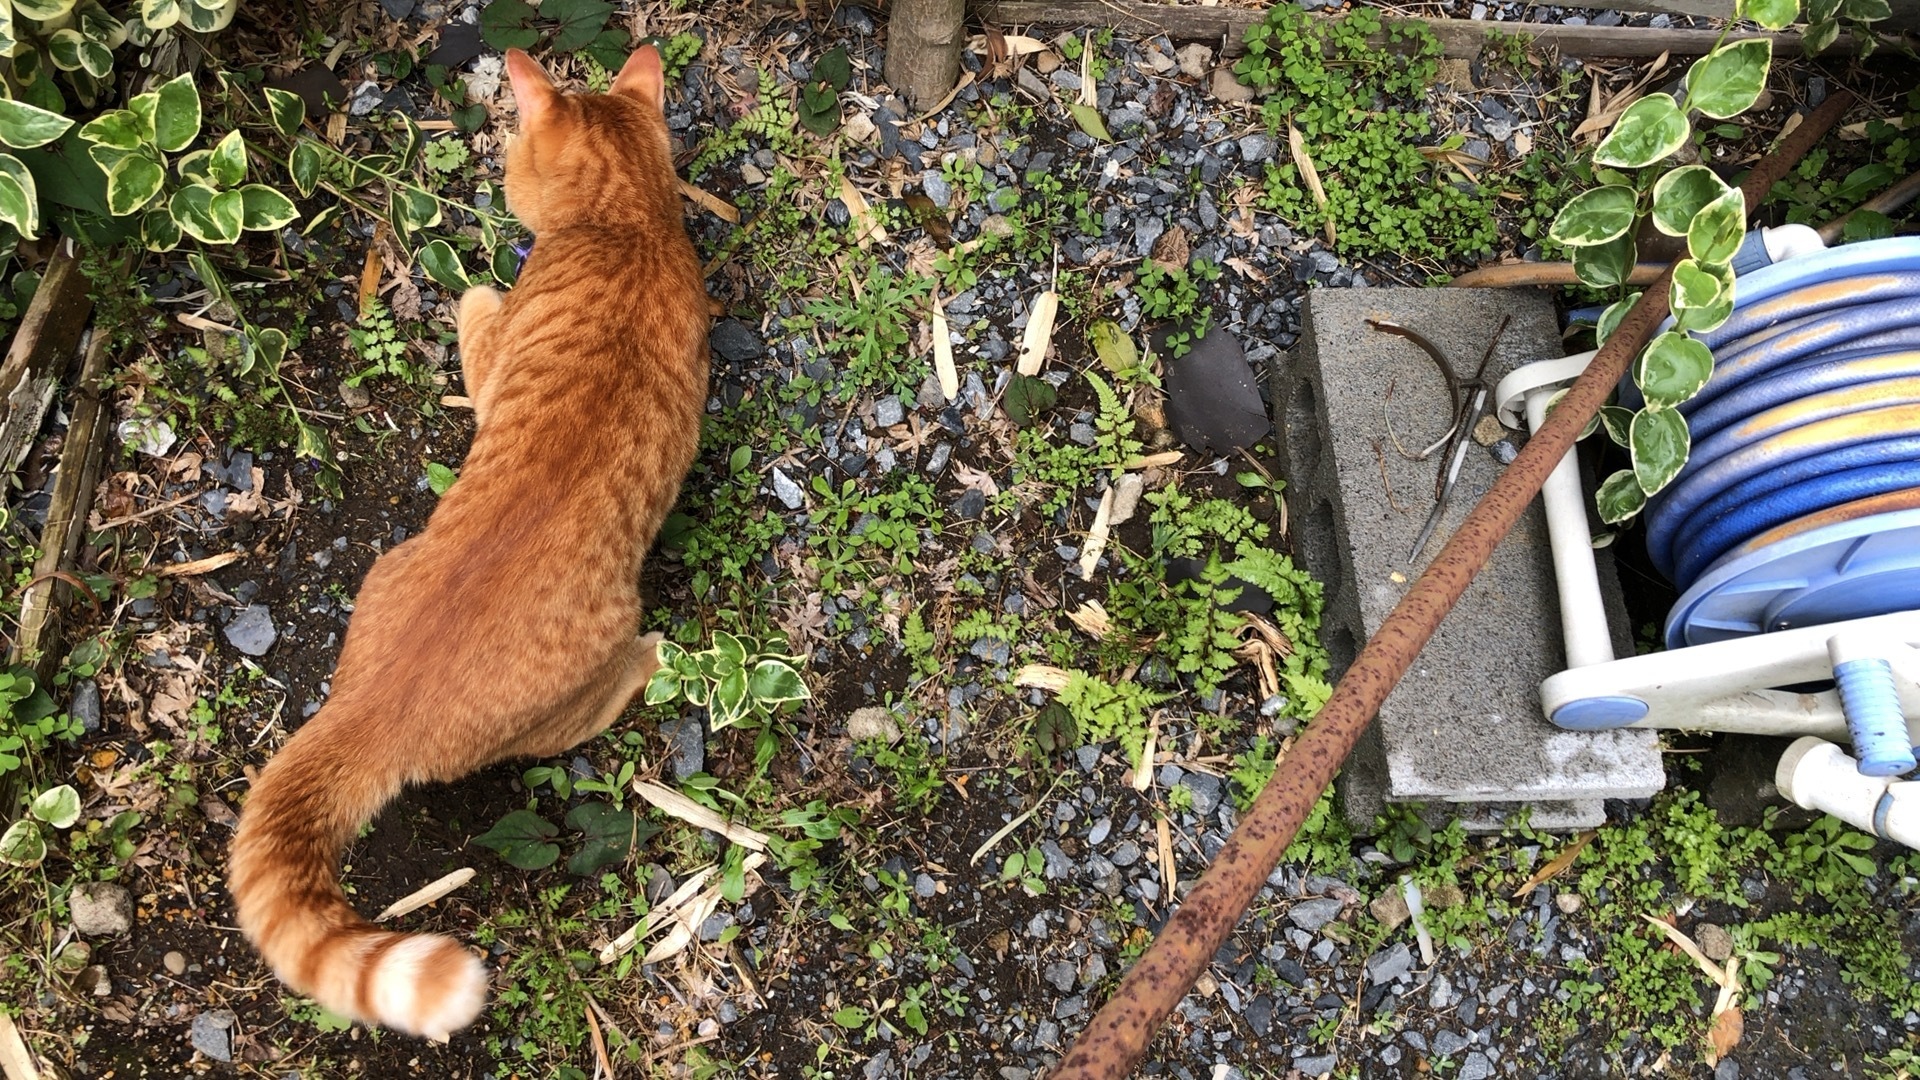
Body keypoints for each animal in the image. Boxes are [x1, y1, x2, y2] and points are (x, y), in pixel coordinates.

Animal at [224, 44, 706, 1037]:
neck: (627, 224)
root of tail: (376, 708)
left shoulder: (491, 356)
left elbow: (481, 301)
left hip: (593, 653)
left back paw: (650, 656)